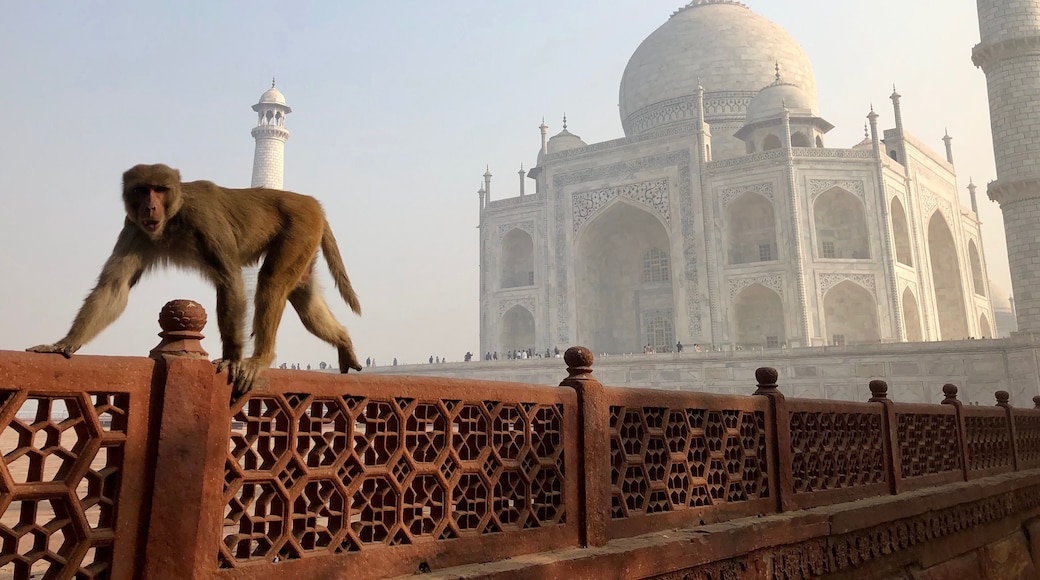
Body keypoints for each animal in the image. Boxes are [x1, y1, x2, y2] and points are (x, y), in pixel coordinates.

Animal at [27, 163, 363, 394]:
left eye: (159, 189)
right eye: (141, 189)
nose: (149, 205)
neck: (174, 216)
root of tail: (311, 202)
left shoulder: (204, 220)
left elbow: (230, 280)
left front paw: (233, 358)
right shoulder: (135, 228)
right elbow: (114, 288)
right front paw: (65, 343)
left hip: (300, 226)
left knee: (271, 283)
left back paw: (260, 358)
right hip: (306, 238)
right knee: (304, 298)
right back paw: (344, 342)